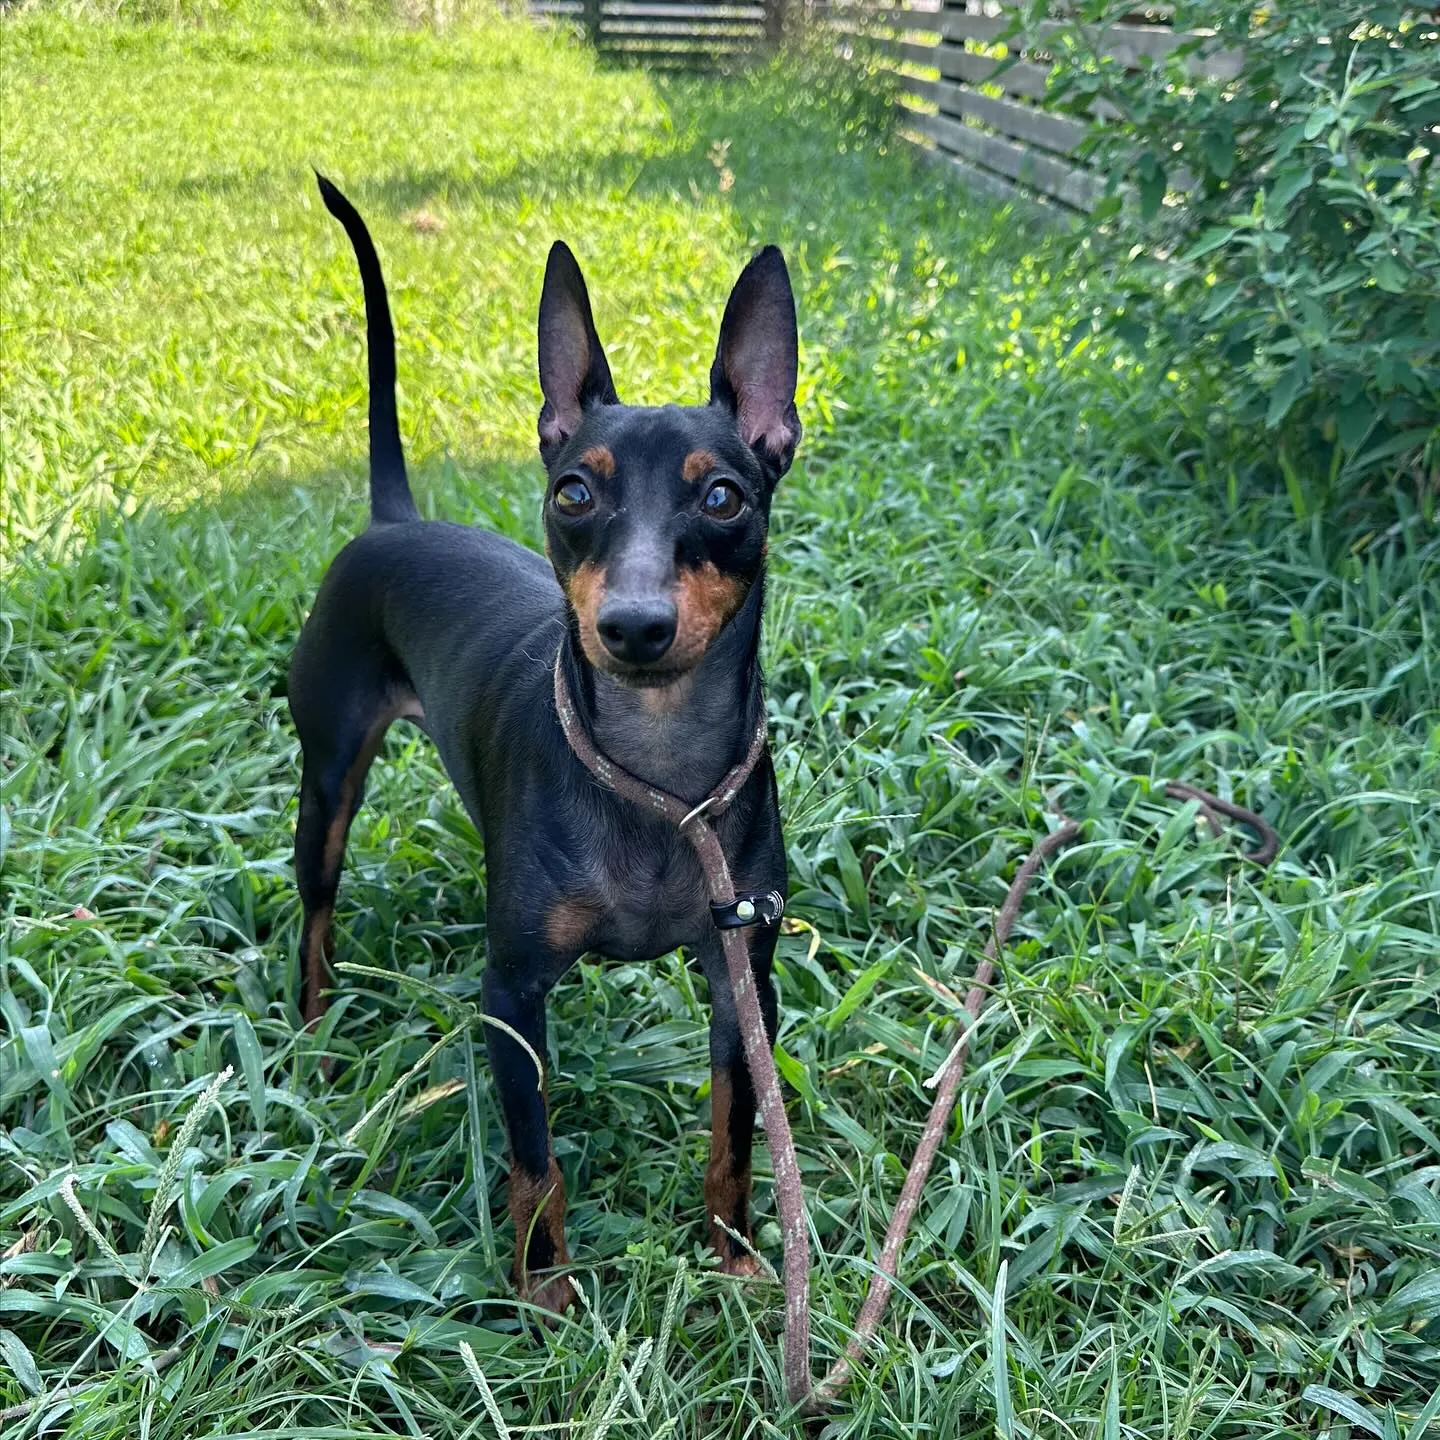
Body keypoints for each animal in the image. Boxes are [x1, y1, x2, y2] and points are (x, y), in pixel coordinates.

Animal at [280, 174, 800, 1313]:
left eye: (723, 495)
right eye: (575, 492)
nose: (635, 627)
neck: (659, 785)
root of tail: (396, 518)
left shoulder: (744, 981)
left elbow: (736, 1138)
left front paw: (736, 1260)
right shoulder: (512, 996)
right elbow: (535, 1162)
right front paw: (543, 1294)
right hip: (326, 785)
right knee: (315, 917)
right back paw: (313, 1032)